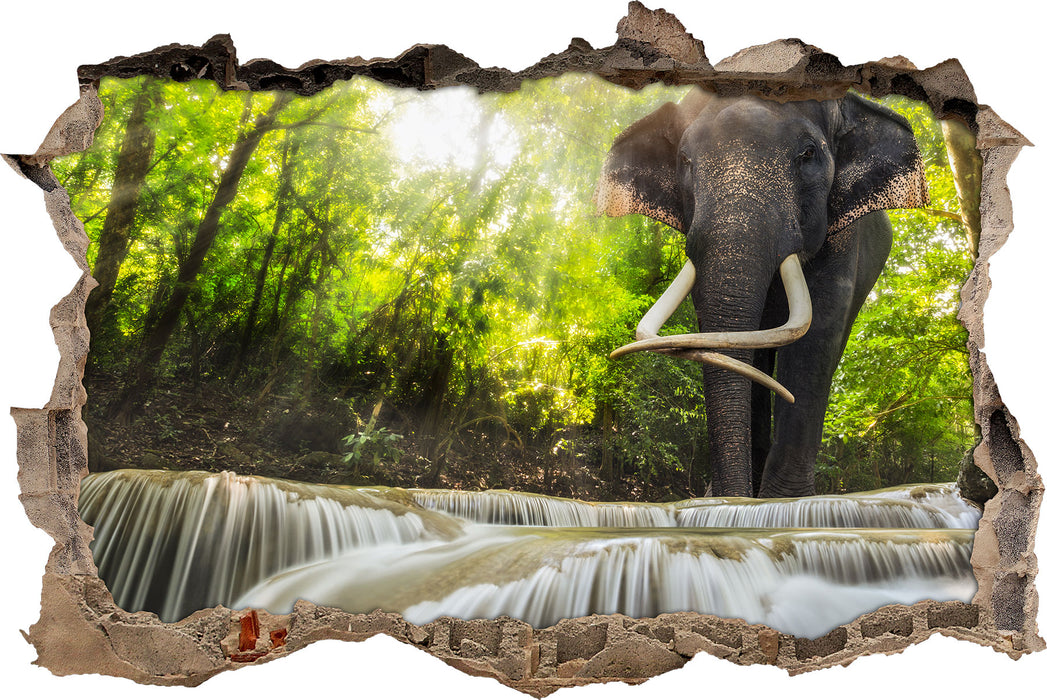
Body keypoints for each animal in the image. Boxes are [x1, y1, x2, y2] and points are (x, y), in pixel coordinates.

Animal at [594, 88, 927, 498]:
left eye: (808, 154)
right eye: (685, 160)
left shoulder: (844, 234)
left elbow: (817, 335)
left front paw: (785, 503)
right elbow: (729, 338)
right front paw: (727, 499)